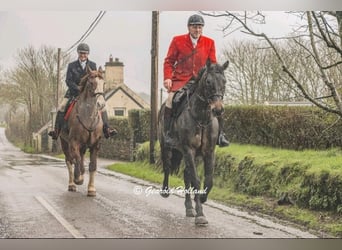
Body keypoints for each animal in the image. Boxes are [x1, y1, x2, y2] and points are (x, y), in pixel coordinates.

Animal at [60, 66, 105, 197]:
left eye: (103, 83)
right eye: (91, 83)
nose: (101, 104)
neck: (88, 116)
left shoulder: (95, 145)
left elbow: (92, 166)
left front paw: (91, 189)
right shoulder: (74, 143)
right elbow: (77, 160)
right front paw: (78, 179)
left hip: (84, 146)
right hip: (64, 143)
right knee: (70, 161)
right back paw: (72, 184)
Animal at [158, 60, 228, 225]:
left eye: (224, 81)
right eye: (208, 82)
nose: (218, 110)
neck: (201, 117)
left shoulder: (208, 152)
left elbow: (208, 180)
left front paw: (202, 199)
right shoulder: (188, 149)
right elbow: (196, 180)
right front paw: (200, 214)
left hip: (193, 155)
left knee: (186, 174)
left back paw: (189, 207)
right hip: (167, 147)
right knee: (167, 166)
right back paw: (165, 191)